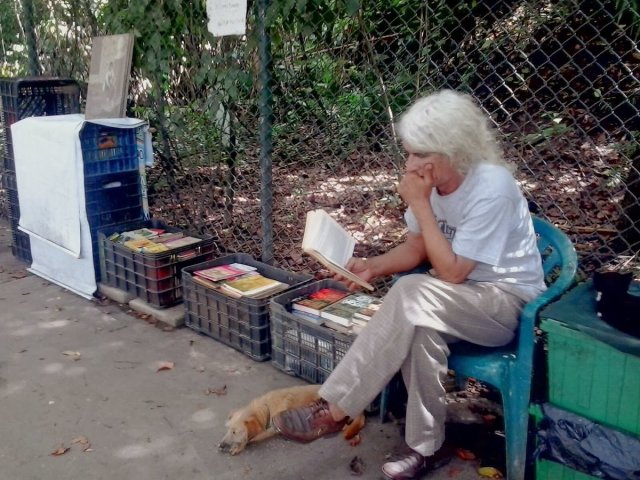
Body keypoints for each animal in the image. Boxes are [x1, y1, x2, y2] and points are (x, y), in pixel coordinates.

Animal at [219, 384, 364, 456]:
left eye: (234, 432)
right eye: (227, 430)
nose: (221, 445)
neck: (266, 407)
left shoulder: (273, 427)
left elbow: (254, 436)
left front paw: (239, 446)